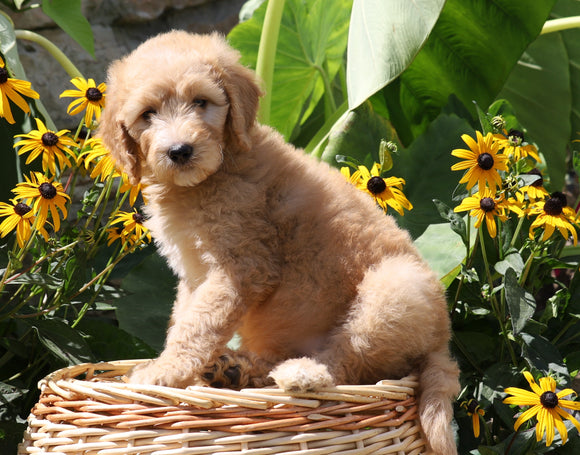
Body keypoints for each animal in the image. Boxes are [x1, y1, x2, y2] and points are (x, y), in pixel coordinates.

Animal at [97, 30, 460, 454]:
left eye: (201, 102)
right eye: (148, 114)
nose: (180, 151)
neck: (208, 178)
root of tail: (442, 342)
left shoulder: (242, 267)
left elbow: (198, 326)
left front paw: (164, 372)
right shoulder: (195, 274)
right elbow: (182, 320)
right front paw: (174, 368)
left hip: (395, 289)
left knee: (350, 361)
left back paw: (303, 374)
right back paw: (235, 370)